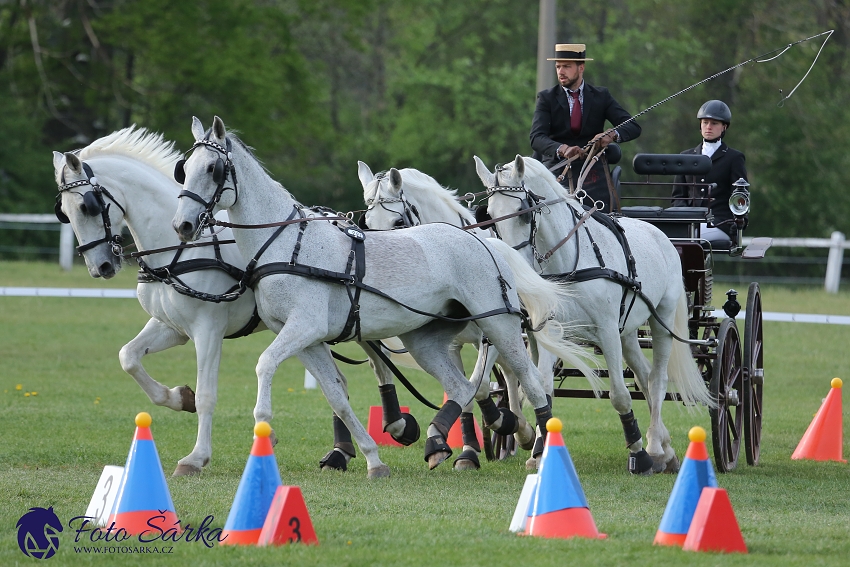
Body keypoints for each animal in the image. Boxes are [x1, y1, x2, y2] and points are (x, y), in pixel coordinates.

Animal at [169, 116, 588, 480]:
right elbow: (336, 395)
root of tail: (484, 242)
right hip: (426, 340)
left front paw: (263, 432)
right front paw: (372, 458)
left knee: (531, 382)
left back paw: (538, 452)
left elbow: (265, 365)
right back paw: (437, 442)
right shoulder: (308, 340)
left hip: (498, 326)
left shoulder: (303, 328)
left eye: (213, 169)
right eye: (184, 169)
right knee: (463, 388)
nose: (182, 225)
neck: (287, 244)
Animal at [474, 155, 712, 474]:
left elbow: (620, 395)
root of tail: (660, 234)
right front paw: (538, 450)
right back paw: (665, 447)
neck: (570, 262)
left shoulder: (607, 331)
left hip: (660, 319)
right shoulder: (549, 329)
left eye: (524, 213)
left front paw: (639, 453)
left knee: (657, 379)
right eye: (488, 213)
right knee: (644, 375)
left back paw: (653, 448)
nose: (510, 264)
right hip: (627, 332)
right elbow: (541, 387)